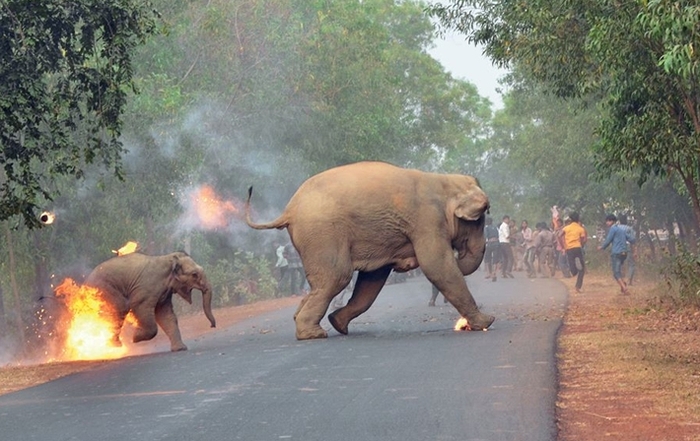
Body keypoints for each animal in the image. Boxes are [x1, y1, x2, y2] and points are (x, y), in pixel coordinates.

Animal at [82, 251, 215, 350]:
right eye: (194, 274)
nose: (212, 326)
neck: (168, 259)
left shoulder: (164, 293)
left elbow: (166, 315)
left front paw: (180, 349)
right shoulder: (146, 288)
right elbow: (140, 307)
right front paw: (135, 338)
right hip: (104, 289)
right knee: (121, 308)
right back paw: (115, 345)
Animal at [245, 160, 492, 338]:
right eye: (480, 220)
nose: (459, 253)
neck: (444, 180)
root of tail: (289, 209)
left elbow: (372, 279)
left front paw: (338, 323)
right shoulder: (427, 220)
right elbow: (437, 265)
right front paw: (486, 322)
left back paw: (313, 324)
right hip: (322, 233)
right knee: (338, 277)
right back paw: (313, 334)